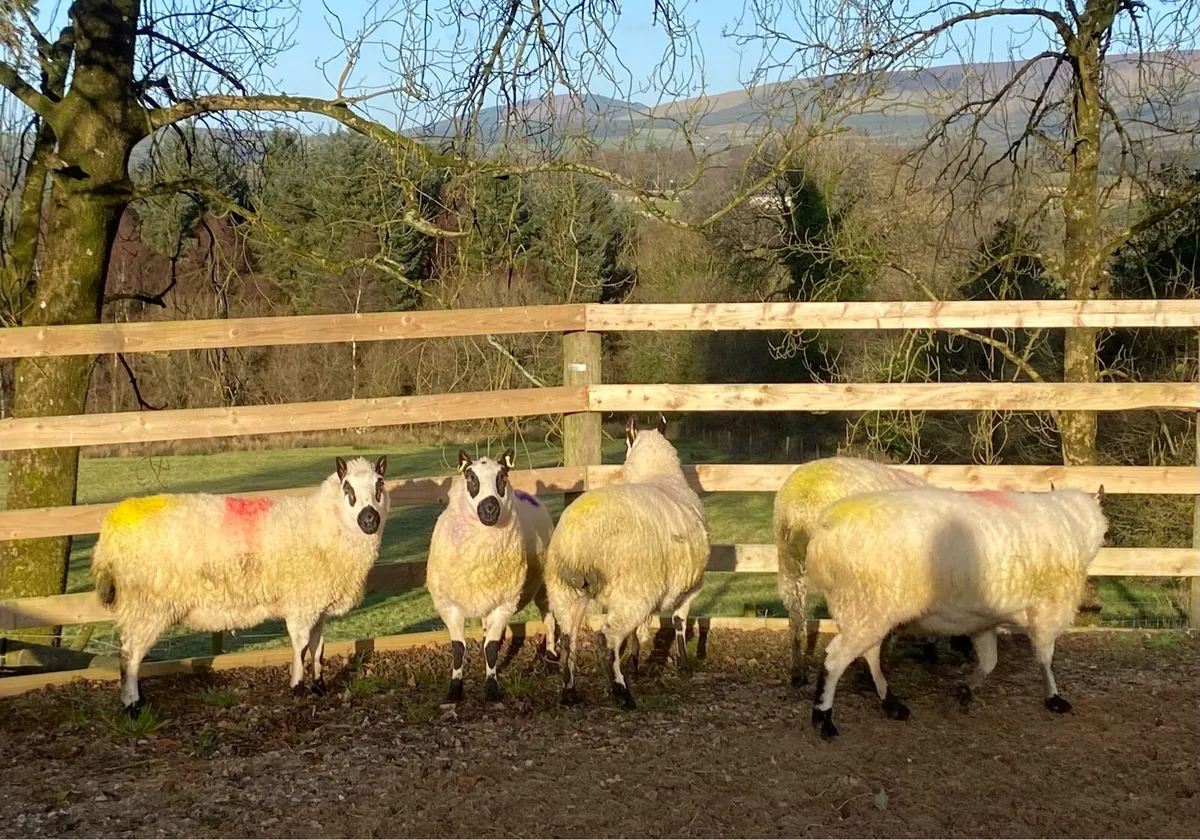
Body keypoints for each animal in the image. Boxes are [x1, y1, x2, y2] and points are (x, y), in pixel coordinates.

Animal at [91, 456, 390, 714]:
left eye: (380, 485)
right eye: (347, 488)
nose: (369, 520)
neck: (320, 524)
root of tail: (109, 530)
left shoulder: (316, 603)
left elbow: (318, 646)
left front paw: (319, 685)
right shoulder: (300, 604)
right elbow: (301, 645)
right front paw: (297, 686)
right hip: (146, 604)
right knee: (130, 654)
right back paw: (132, 704)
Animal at [425, 448, 556, 704]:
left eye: (502, 477)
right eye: (470, 477)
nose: (489, 509)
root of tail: (529, 495)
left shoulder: (504, 604)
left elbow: (492, 648)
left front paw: (492, 689)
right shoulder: (449, 605)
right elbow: (458, 648)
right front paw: (454, 690)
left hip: (544, 583)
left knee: (549, 619)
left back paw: (552, 658)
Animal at [546, 415, 710, 709]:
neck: (658, 474)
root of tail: (579, 541)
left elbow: (637, 632)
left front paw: (634, 664)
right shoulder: (693, 585)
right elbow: (679, 621)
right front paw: (683, 665)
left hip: (564, 590)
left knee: (568, 639)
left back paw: (569, 691)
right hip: (632, 590)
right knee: (606, 639)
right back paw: (622, 693)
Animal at [806, 485, 1108, 739]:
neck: (1073, 522)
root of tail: (827, 527)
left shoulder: (982, 620)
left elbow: (989, 662)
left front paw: (964, 690)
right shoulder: (1048, 609)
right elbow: (1045, 659)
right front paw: (1054, 698)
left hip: (869, 608)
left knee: (870, 653)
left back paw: (892, 704)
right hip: (866, 603)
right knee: (835, 660)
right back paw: (824, 718)